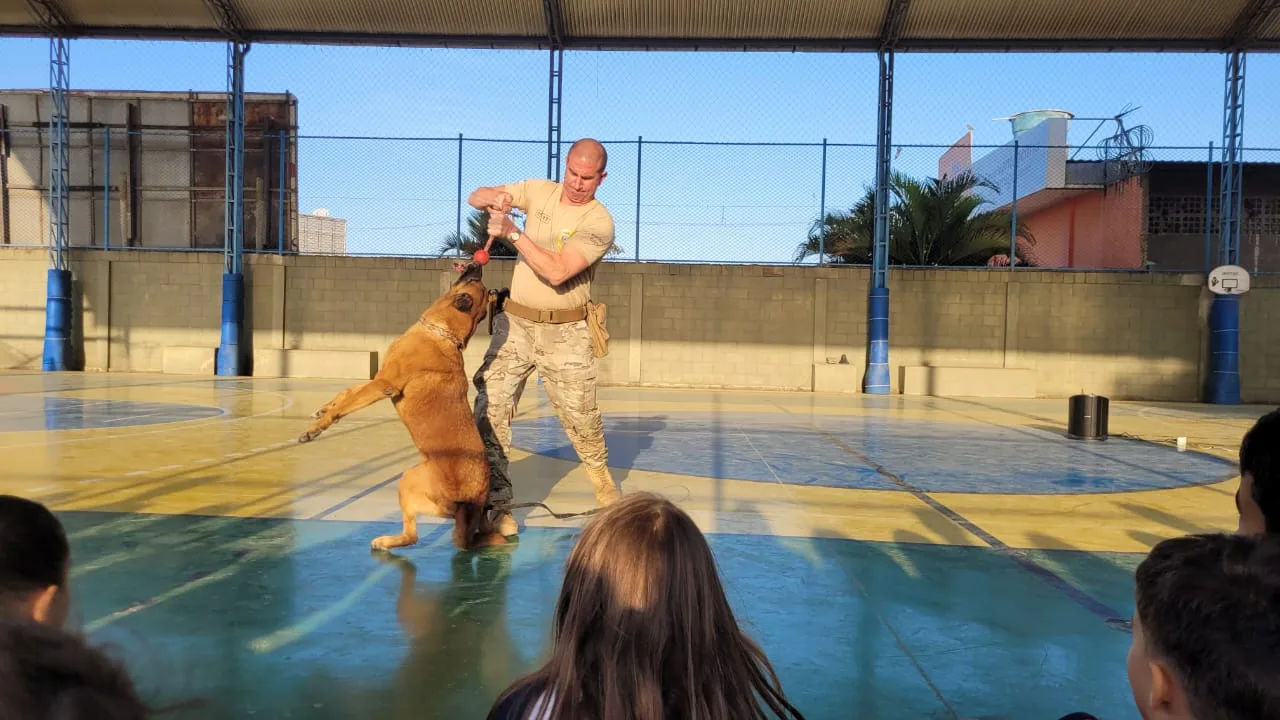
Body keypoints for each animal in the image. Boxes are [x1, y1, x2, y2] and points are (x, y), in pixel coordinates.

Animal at [294, 262, 504, 548]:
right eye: (475, 280)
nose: (477, 264)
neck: (442, 333)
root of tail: (467, 506)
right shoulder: (378, 379)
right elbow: (347, 392)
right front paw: (325, 408)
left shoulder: (384, 384)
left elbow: (345, 406)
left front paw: (316, 429)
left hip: (407, 479)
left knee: (412, 537)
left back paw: (385, 542)